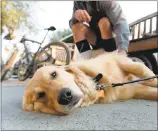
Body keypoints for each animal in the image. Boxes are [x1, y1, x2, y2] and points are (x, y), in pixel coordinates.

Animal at [21, 49, 157, 115]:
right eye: (40, 95)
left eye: (54, 74)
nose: (65, 96)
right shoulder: (134, 90)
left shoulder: (120, 61)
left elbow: (141, 70)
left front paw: (153, 79)